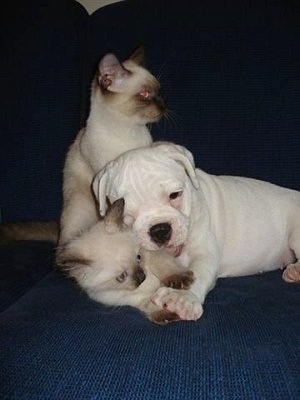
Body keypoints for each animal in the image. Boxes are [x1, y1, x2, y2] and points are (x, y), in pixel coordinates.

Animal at [56, 198, 193, 324]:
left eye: (138, 258)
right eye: (121, 277)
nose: (142, 277)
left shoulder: (153, 254)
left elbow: (165, 267)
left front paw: (179, 279)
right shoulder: (125, 298)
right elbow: (148, 302)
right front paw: (163, 314)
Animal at [92, 142, 298, 320]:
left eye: (175, 195)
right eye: (125, 213)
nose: (160, 230)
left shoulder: (204, 253)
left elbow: (198, 272)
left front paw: (181, 298)